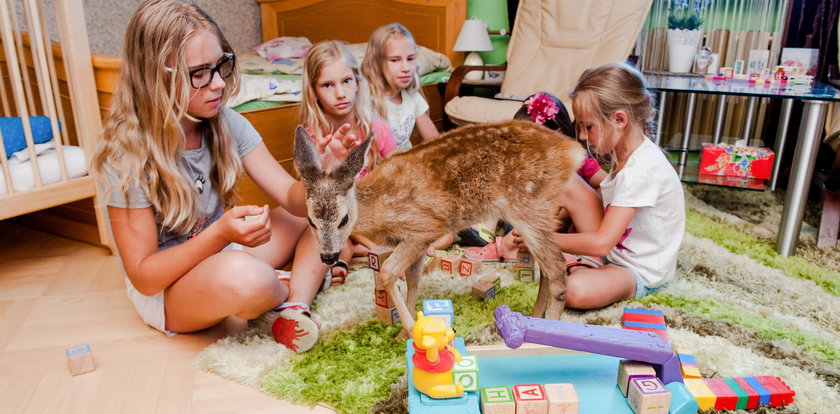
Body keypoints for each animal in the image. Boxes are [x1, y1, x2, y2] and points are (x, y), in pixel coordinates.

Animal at [294, 119, 584, 334]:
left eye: (343, 219)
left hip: (528, 206)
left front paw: (410, 330)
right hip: (538, 212)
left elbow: (389, 272)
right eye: (310, 221)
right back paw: (534, 319)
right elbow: (412, 277)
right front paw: (403, 330)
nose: (328, 256)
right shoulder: (415, 241)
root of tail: (572, 150)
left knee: (557, 268)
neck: (379, 209)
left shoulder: (423, 228)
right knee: (547, 269)